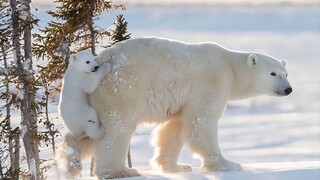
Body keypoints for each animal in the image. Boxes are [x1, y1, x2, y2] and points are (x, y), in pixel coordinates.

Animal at [88, 37, 292, 179]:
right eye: (273, 73)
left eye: (286, 73)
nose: (288, 89)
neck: (231, 67)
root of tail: (101, 59)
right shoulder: (213, 82)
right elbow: (201, 122)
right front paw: (228, 164)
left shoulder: (182, 101)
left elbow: (175, 127)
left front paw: (177, 167)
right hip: (122, 89)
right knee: (118, 130)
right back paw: (120, 171)